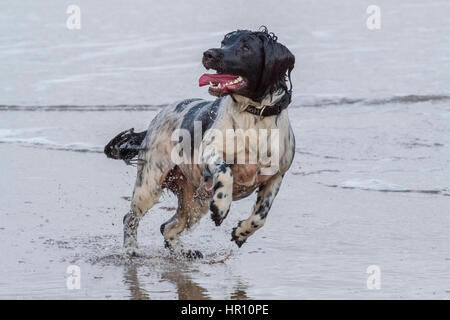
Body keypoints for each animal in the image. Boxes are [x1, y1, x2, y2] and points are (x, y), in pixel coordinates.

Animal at [104, 26, 296, 258]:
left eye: (245, 47)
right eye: (224, 42)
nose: (209, 54)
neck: (254, 115)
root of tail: (152, 124)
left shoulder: (276, 175)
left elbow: (261, 216)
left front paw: (240, 233)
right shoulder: (210, 152)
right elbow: (225, 171)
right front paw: (221, 206)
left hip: (196, 201)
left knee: (167, 227)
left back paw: (183, 250)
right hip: (150, 184)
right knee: (130, 217)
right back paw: (131, 249)